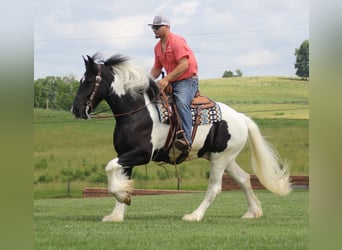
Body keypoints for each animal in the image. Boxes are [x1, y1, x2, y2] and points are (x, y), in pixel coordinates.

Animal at [71, 53, 292, 222]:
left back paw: (194, 216)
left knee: (215, 188)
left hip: (220, 159)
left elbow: (109, 168)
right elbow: (120, 177)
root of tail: (240, 118)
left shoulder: (140, 154)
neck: (137, 112)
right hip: (224, 157)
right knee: (244, 179)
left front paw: (122, 198)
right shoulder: (126, 154)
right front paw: (117, 213)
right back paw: (252, 212)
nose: (76, 110)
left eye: (89, 81)